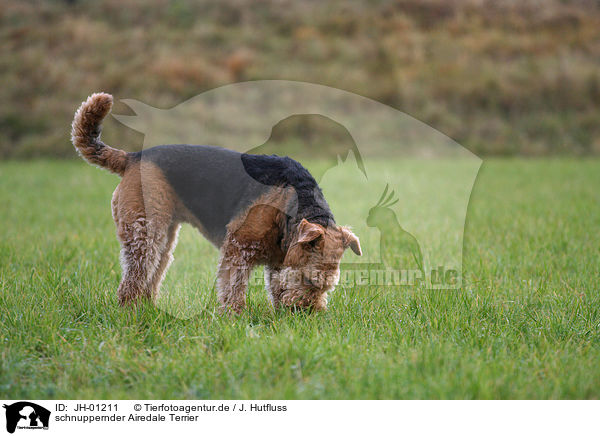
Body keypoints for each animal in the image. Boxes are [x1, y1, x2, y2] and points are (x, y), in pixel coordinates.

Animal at [70, 93, 360, 314]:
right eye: (310, 279)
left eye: (328, 287)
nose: (308, 313)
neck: (294, 204)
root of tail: (133, 157)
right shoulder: (238, 248)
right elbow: (234, 286)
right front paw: (234, 317)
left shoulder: (279, 260)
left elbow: (276, 285)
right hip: (144, 232)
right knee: (133, 278)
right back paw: (130, 310)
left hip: (164, 237)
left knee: (153, 273)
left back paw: (148, 308)